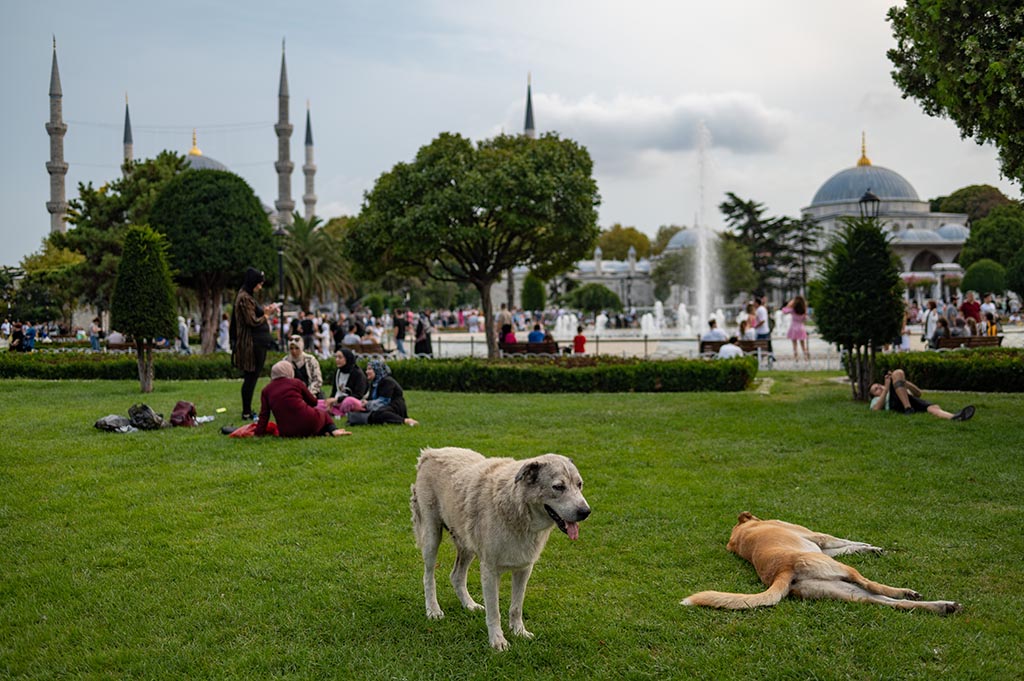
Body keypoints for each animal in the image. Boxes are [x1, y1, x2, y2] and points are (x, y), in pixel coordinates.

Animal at [411, 446, 593, 647]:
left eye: (579, 485)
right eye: (558, 487)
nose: (585, 512)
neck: (517, 508)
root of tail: (430, 452)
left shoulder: (524, 569)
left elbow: (516, 607)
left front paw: (519, 632)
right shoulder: (490, 571)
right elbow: (494, 612)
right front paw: (498, 641)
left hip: (466, 544)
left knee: (456, 576)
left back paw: (469, 605)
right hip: (432, 537)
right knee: (428, 576)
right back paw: (433, 610)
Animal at [684, 509, 962, 614]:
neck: (742, 534)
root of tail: (782, 571)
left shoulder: (823, 549)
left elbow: (845, 546)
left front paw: (868, 548)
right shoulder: (816, 538)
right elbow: (845, 541)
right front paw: (870, 547)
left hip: (840, 589)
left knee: (884, 602)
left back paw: (944, 606)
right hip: (842, 572)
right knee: (876, 588)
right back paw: (909, 592)